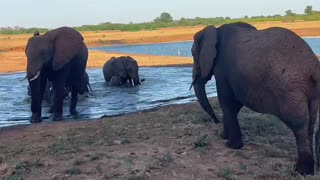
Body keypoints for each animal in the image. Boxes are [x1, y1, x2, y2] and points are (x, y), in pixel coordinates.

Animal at [190, 21, 320, 175]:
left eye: (193, 55)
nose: (216, 122)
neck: (215, 30)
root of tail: (313, 67)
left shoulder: (221, 68)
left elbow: (227, 102)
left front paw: (231, 145)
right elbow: (235, 104)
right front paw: (225, 137)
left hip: (290, 89)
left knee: (299, 124)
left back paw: (302, 171)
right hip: (311, 90)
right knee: (311, 122)